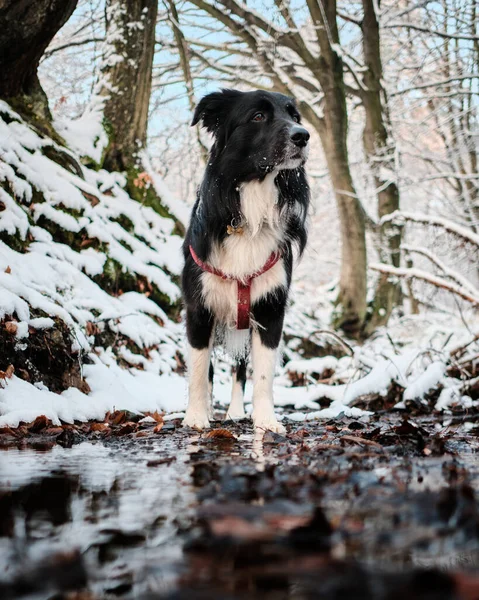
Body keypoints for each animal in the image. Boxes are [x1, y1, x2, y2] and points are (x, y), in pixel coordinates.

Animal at [181, 89, 312, 434]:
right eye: (258, 116)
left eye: (294, 116)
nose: (303, 136)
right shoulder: (199, 309)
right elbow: (198, 369)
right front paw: (196, 416)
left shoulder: (270, 307)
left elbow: (263, 374)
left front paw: (265, 421)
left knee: (240, 369)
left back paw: (236, 412)